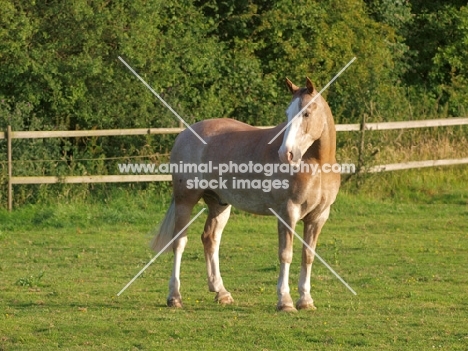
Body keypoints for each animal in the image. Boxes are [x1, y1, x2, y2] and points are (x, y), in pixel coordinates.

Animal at [154, 77, 340, 314]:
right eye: (287, 114)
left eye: (306, 113)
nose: (286, 154)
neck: (316, 164)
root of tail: (185, 134)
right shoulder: (287, 213)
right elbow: (286, 254)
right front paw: (285, 301)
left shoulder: (318, 217)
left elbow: (308, 256)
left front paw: (306, 300)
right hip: (185, 201)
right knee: (179, 242)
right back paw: (174, 297)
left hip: (219, 204)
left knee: (210, 239)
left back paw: (221, 292)